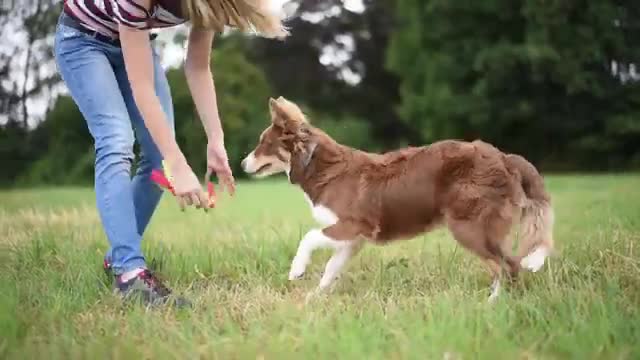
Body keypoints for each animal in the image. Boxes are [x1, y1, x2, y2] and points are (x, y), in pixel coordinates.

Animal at [242, 97, 552, 302]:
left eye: (263, 144)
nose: (242, 164)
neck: (319, 165)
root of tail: (504, 157)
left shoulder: (354, 225)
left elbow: (308, 237)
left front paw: (297, 270)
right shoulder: (353, 240)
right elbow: (331, 269)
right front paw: (314, 300)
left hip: (469, 227)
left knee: (509, 265)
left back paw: (493, 305)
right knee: (507, 265)